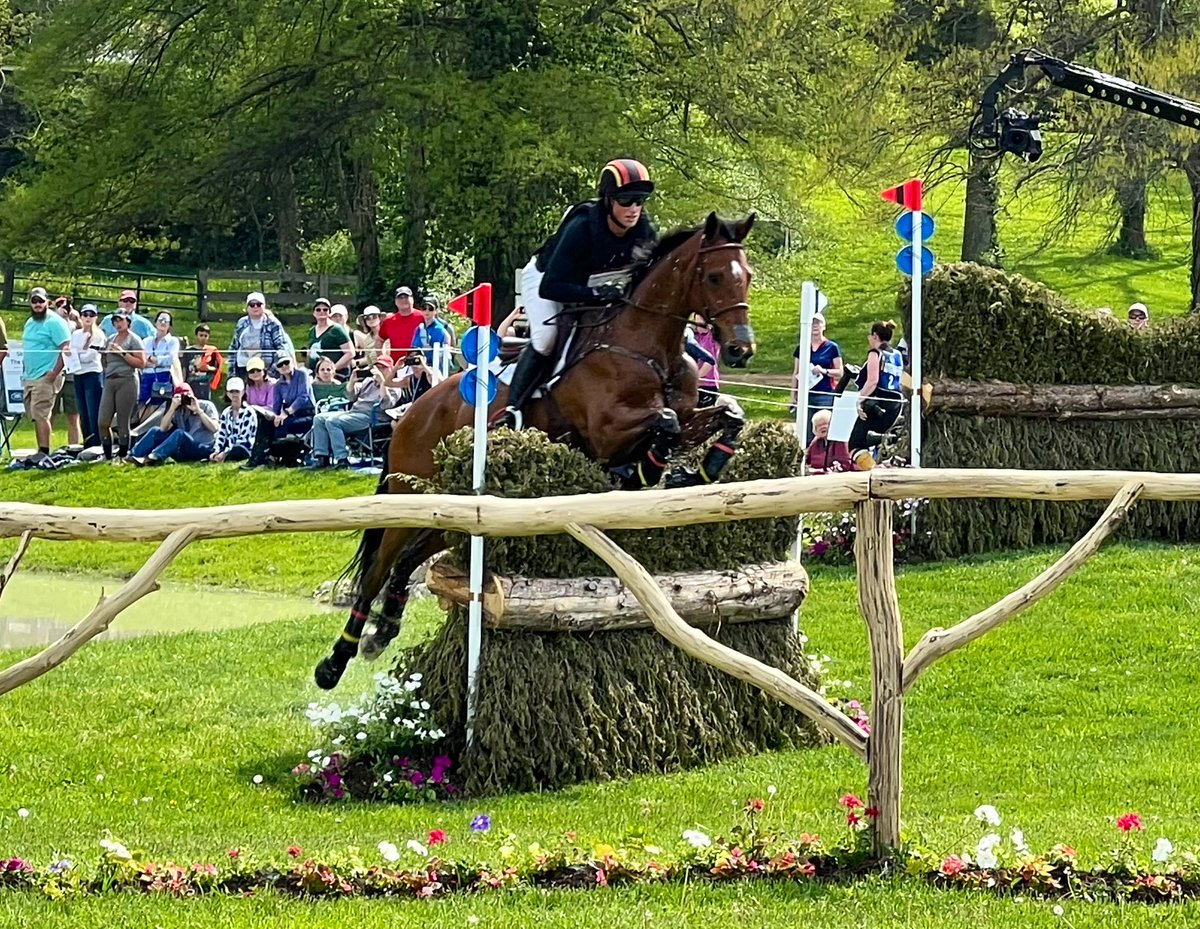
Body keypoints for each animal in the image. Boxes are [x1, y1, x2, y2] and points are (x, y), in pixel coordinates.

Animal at [314, 210, 757, 690]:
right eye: (714, 276)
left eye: (747, 276)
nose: (741, 349)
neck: (647, 345)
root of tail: (413, 412)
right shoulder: (607, 431)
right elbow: (666, 422)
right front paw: (645, 471)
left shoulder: (688, 410)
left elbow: (727, 413)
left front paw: (697, 471)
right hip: (409, 497)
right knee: (378, 570)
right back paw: (335, 662)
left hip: (448, 508)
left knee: (406, 561)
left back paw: (384, 629)